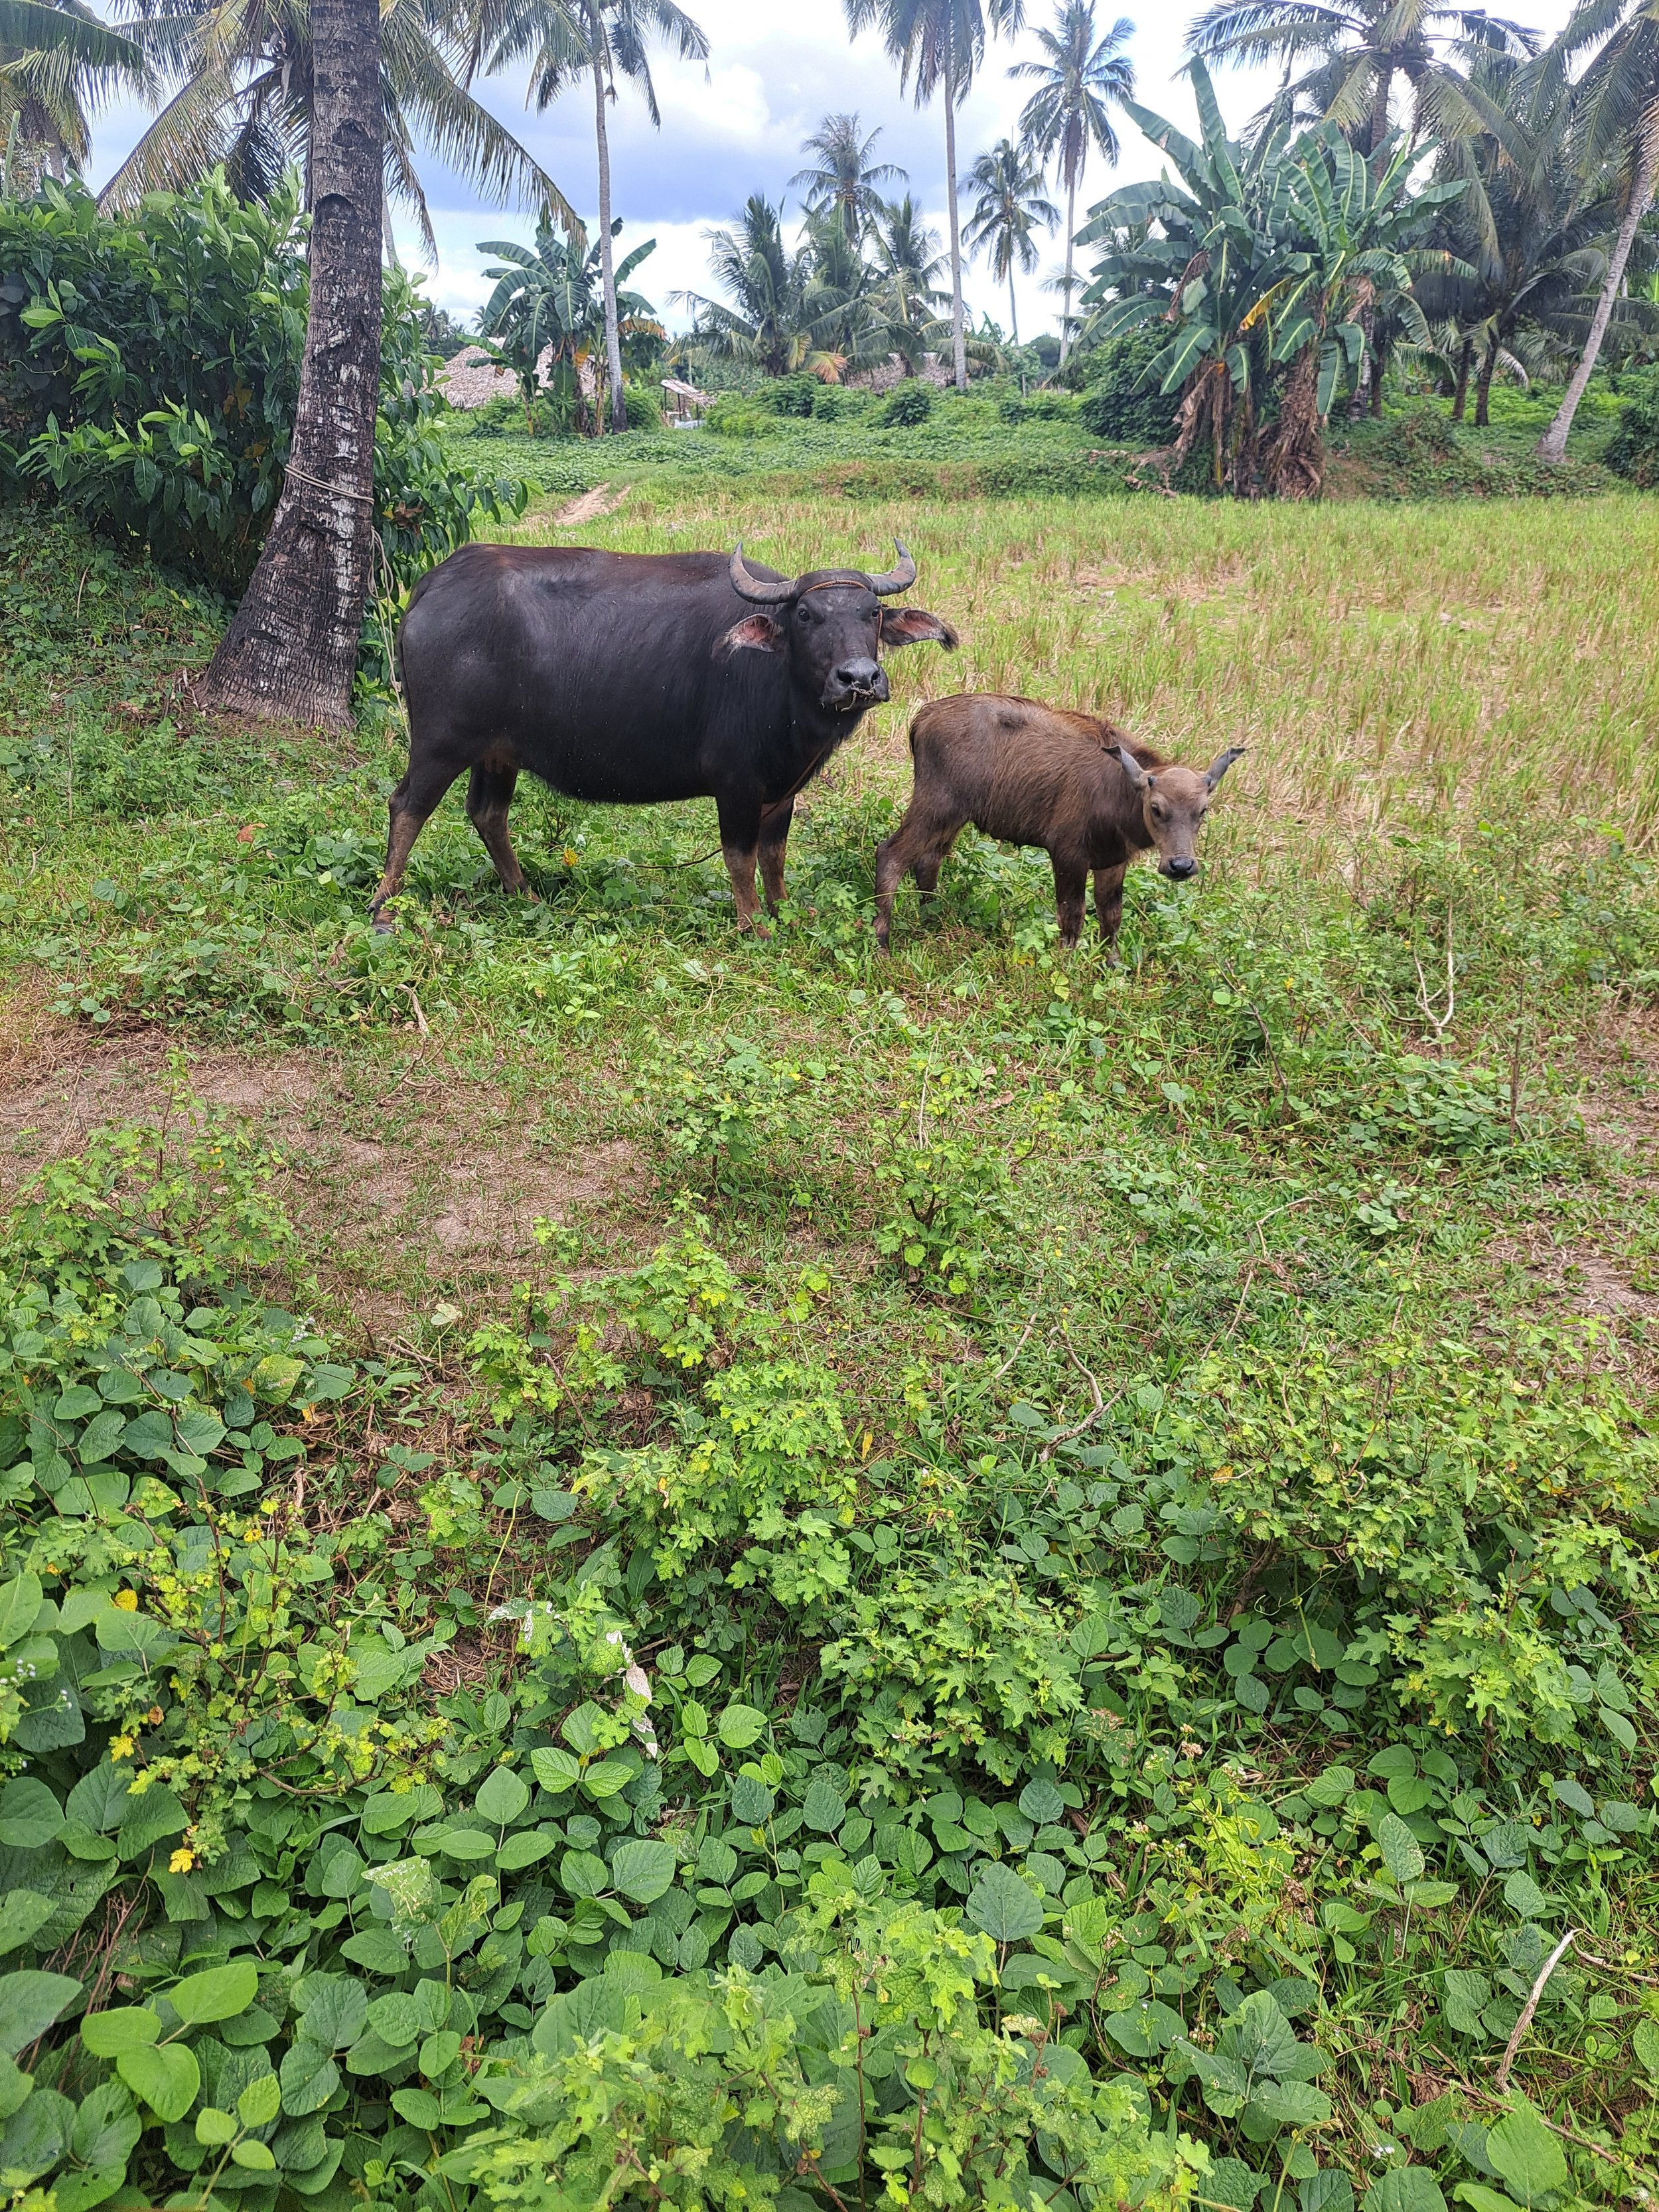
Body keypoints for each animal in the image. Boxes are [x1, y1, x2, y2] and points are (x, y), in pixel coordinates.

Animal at [370, 539, 957, 930]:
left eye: (872, 612)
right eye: (807, 614)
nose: (858, 678)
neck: (777, 682)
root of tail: (431, 585)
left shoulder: (782, 788)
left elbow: (774, 856)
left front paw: (785, 909)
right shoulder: (736, 783)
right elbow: (740, 855)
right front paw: (752, 922)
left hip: (497, 752)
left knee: (488, 813)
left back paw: (524, 895)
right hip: (441, 741)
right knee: (407, 807)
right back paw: (383, 907)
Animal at [873, 693, 1244, 951]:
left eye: (1203, 810)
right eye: (1156, 808)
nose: (1181, 866)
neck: (1118, 800)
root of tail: (921, 718)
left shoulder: (1112, 862)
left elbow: (1111, 917)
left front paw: (1110, 967)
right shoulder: (1067, 855)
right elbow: (1072, 917)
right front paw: (1067, 965)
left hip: (953, 816)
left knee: (928, 861)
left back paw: (930, 923)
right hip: (937, 804)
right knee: (890, 855)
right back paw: (883, 943)